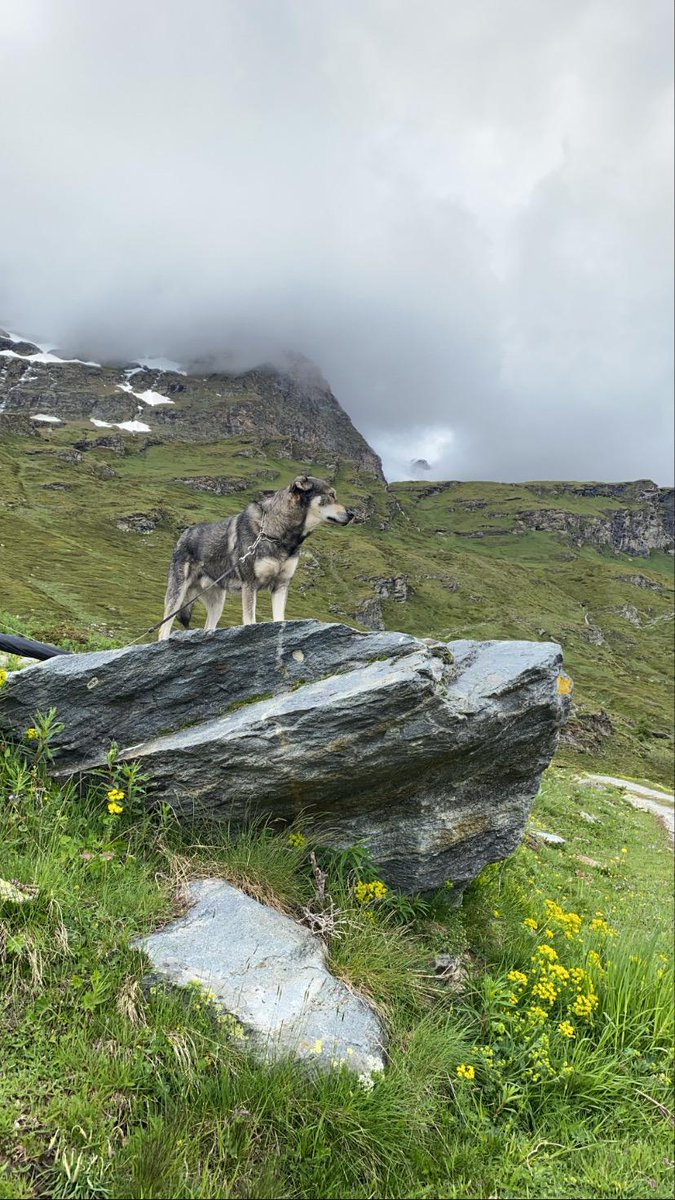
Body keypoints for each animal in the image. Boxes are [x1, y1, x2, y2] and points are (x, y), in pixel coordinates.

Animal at [158, 472, 355, 638]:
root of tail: (184, 534)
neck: (275, 534)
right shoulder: (250, 585)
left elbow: (279, 619)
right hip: (177, 594)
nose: (352, 514)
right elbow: (250, 620)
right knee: (163, 628)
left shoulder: (281, 585)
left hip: (217, 601)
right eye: (331, 495)